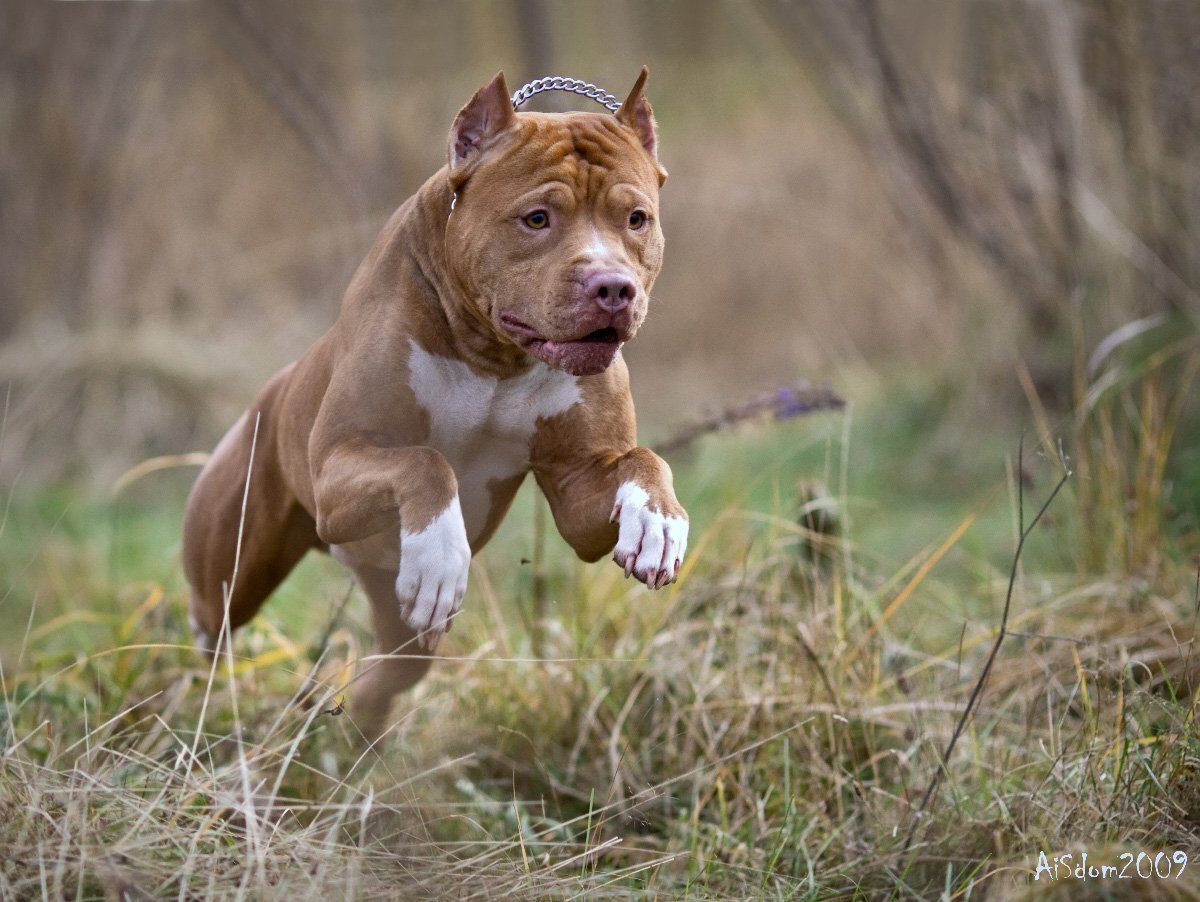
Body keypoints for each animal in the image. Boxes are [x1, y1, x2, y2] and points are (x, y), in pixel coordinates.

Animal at [184, 68, 696, 734]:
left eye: (636, 218)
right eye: (536, 218)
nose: (613, 288)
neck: (494, 356)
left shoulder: (579, 488)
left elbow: (643, 459)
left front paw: (658, 522)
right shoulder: (335, 468)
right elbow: (426, 461)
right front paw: (442, 554)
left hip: (395, 612)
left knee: (396, 668)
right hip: (239, 558)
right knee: (210, 623)